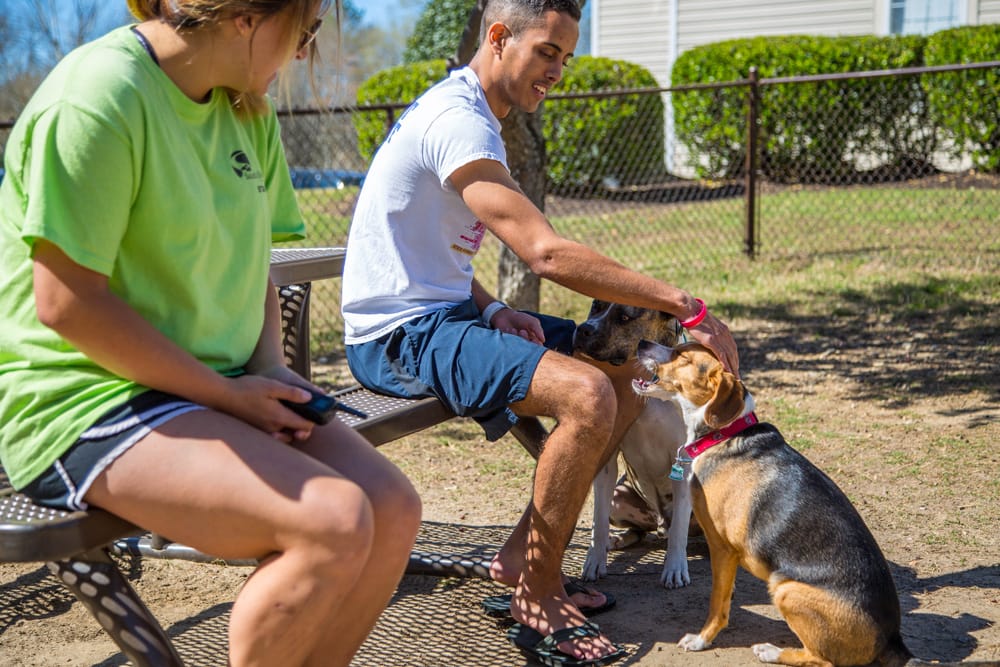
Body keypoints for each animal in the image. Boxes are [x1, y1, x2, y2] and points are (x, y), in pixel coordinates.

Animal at [572, 302, 696, 588]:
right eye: (595, 305)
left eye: (625, 317)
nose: (583, 329)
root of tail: (660, 523)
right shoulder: (607, 462)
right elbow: (597, 519)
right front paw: (594, 560)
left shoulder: (683, 464)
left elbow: (680, 529)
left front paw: (675, 568)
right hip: (620, 499)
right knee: (637, 530)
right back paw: (616, 539)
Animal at [632, 342, 984, 664]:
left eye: (682, 356)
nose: (642, 342)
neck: (725, 434)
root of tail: (893, 641)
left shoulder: (721, 547)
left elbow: (717, 604)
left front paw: (701, 640)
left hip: (785, 587)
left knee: (821, 659)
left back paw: (772, 651)